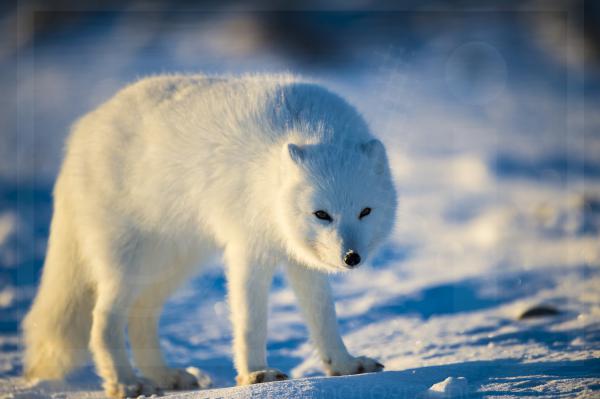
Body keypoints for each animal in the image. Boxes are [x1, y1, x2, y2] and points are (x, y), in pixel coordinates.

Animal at [23, 73, 396, 398]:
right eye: (322, 214)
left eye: (365, 212)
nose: (351, 258)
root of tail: (83, 129)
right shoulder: (249, 248)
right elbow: (250, 320)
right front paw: (256, 375)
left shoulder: (301, 258)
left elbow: (324, 317)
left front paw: (345, 366)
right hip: (128, 261)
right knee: (103, 322)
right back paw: (126, 383)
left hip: (173, 262)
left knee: (141, 315)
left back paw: (165, 376)